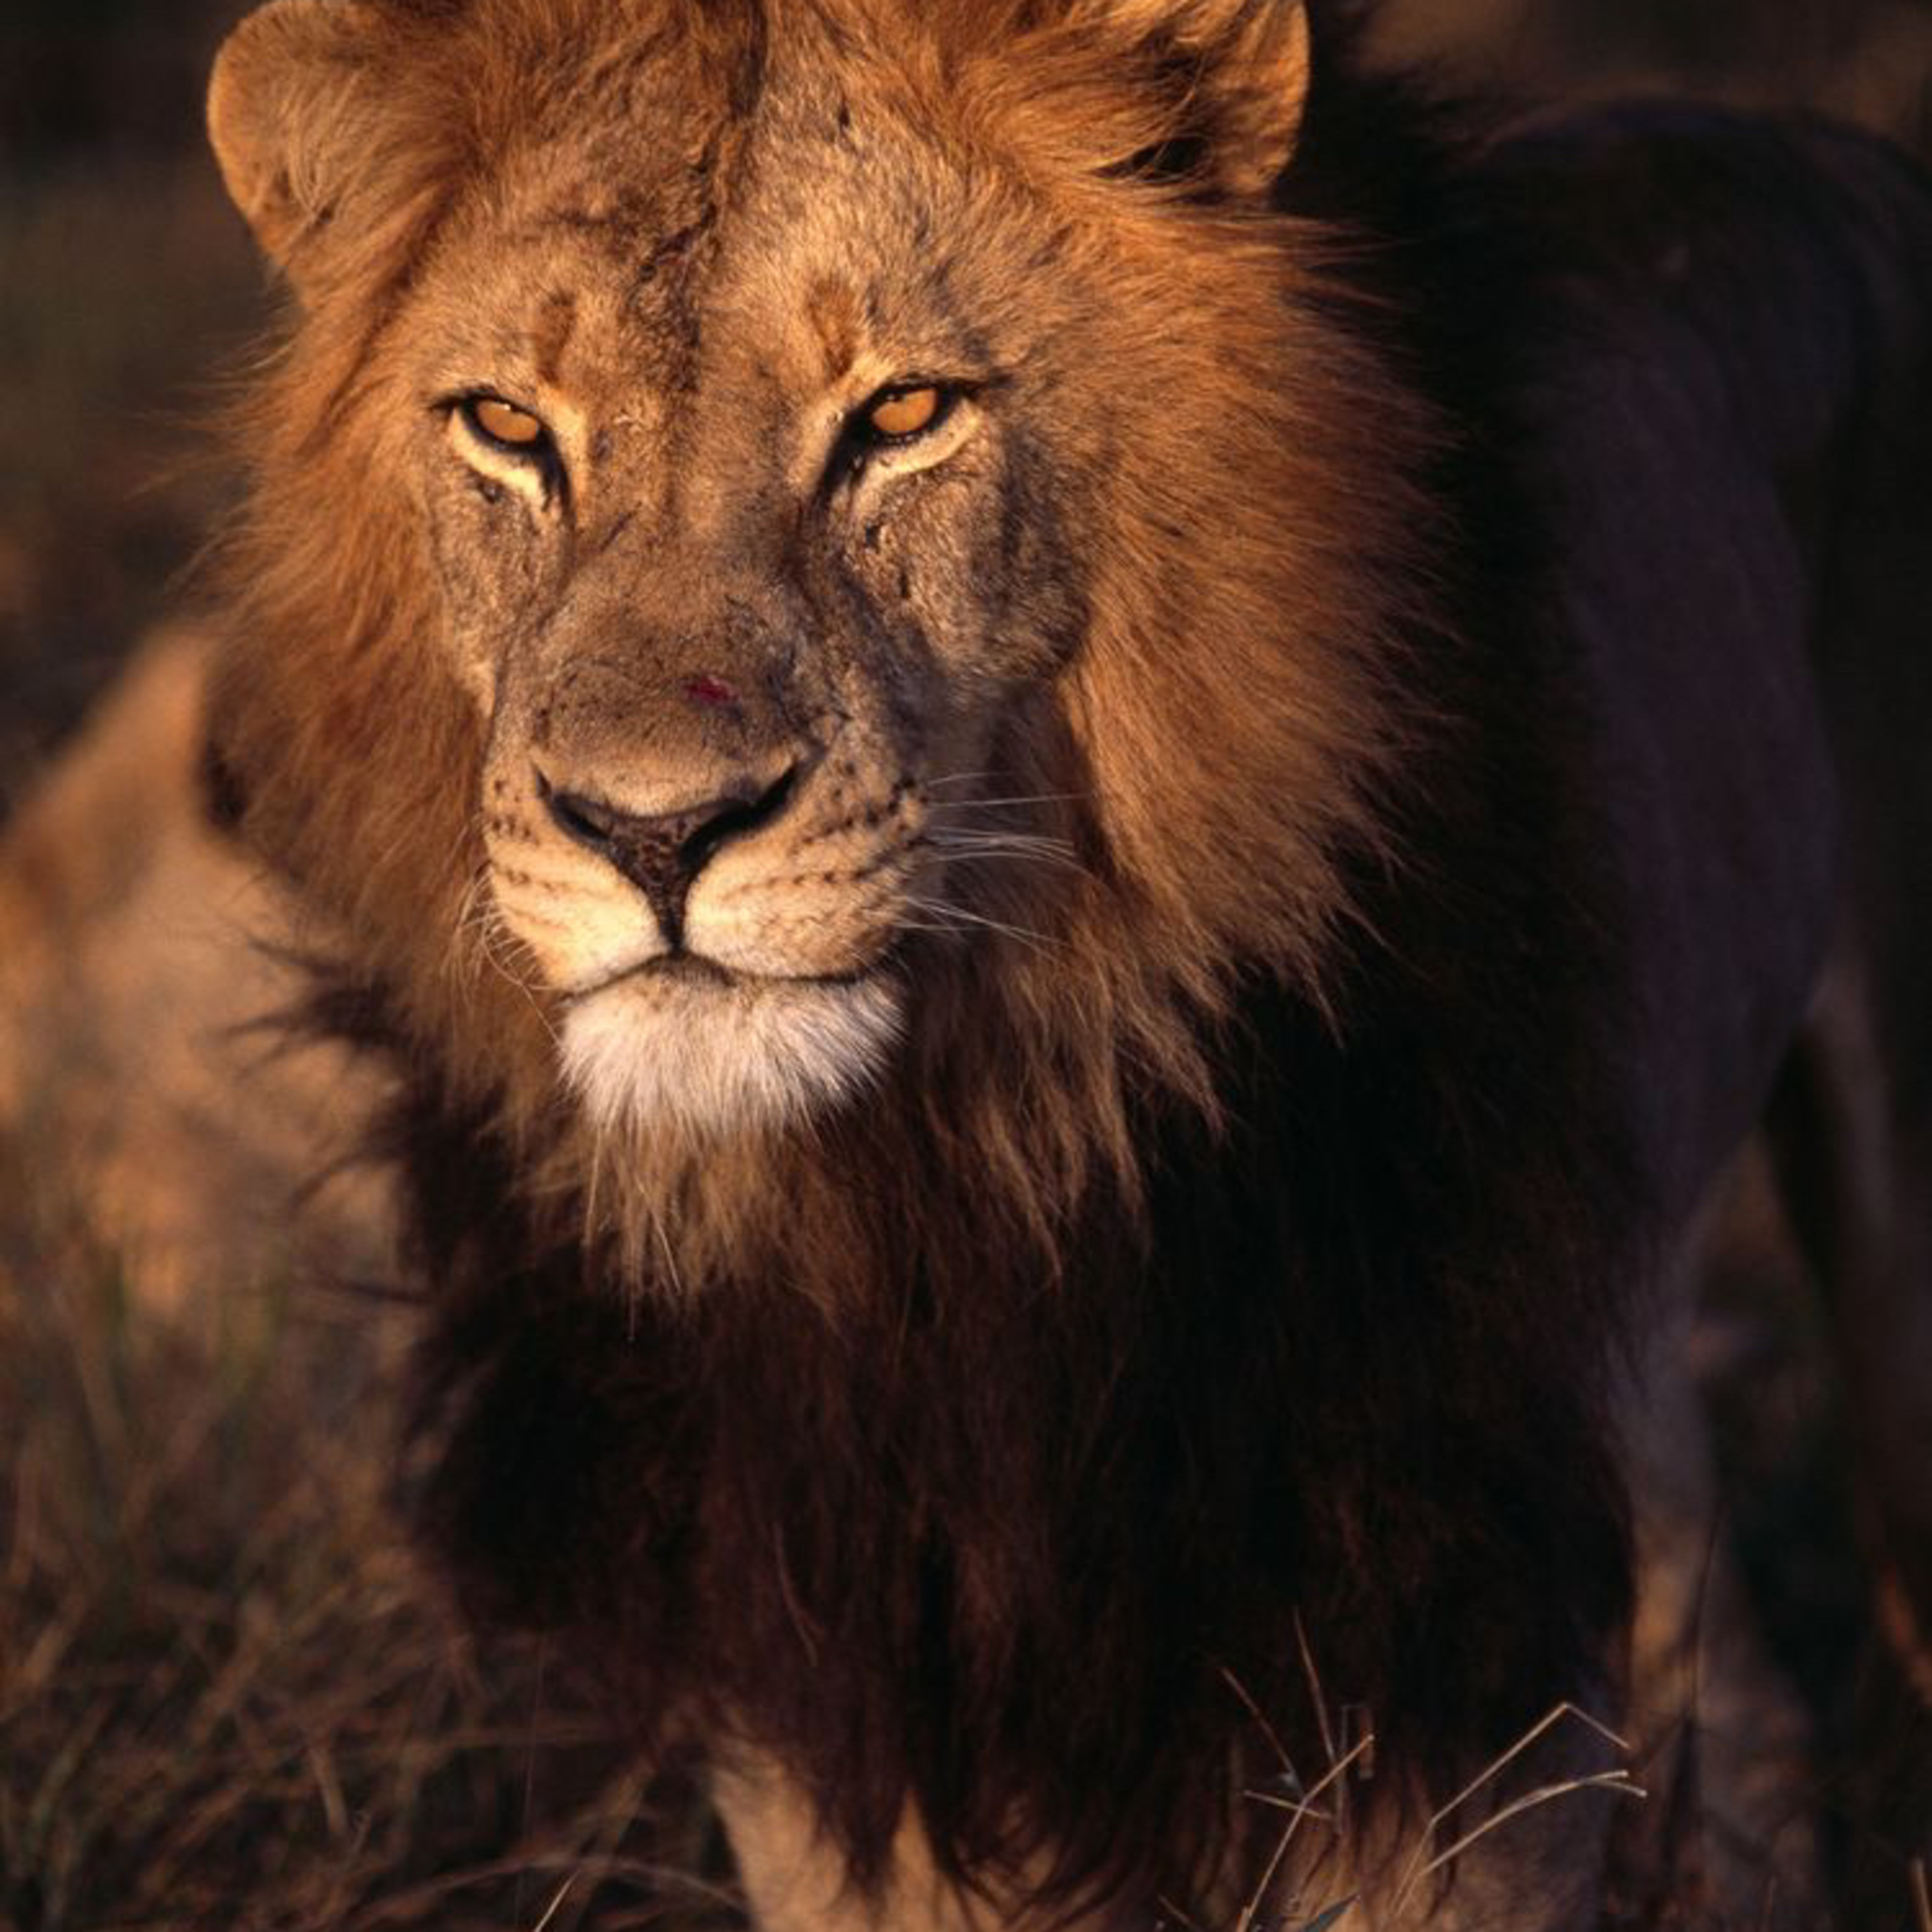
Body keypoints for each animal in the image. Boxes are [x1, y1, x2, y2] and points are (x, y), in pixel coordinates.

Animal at [178, 0, 1932, 1923]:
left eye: (904, 415)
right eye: (506, 426)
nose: (652, 830)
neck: (945, 1174)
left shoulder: (1442, 1621)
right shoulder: (802, 1657)